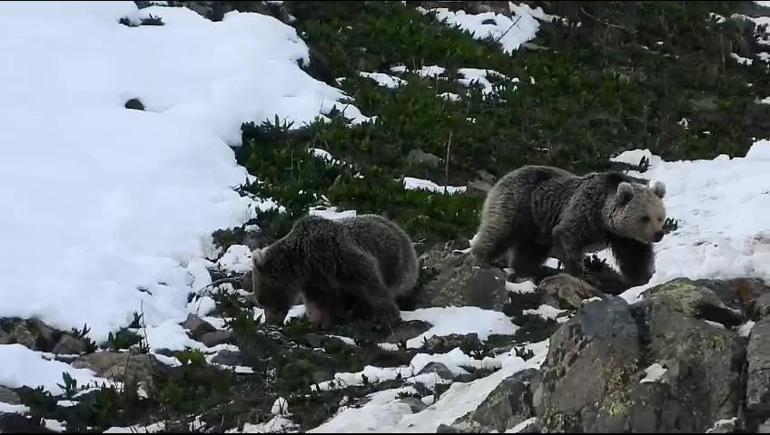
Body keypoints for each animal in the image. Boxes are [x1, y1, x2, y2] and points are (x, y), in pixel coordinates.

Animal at [252, 213, 416, 328]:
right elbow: (318, 302)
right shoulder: (315, 280)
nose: (270, 321)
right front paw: (317, 322)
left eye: (264, 301)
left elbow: (368, 278)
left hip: (394, 259)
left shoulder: (337, 257)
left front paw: (389, 313)